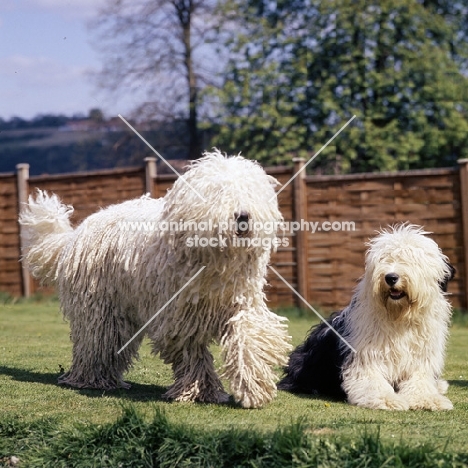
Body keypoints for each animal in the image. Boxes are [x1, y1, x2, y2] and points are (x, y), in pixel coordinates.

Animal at [20, 148, 290, 408]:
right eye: (219, 192)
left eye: (250, 192)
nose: (243, 216)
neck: (216, 261)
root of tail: (74, 236)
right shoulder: (179, 317)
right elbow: (191, 351)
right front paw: (200, 391)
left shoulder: (240, 303)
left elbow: (248, 336)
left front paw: (254, 388)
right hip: (99, 308)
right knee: (96, 342)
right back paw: (93, 379)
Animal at [280, 225, 456, 412]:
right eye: (383, 259)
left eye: (411, 259)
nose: (391, 277)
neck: (398, 317)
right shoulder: (365, 359)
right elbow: (373, 382)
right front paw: (388, 400)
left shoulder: (421, 361)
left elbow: (420, 382)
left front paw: (430, 399)